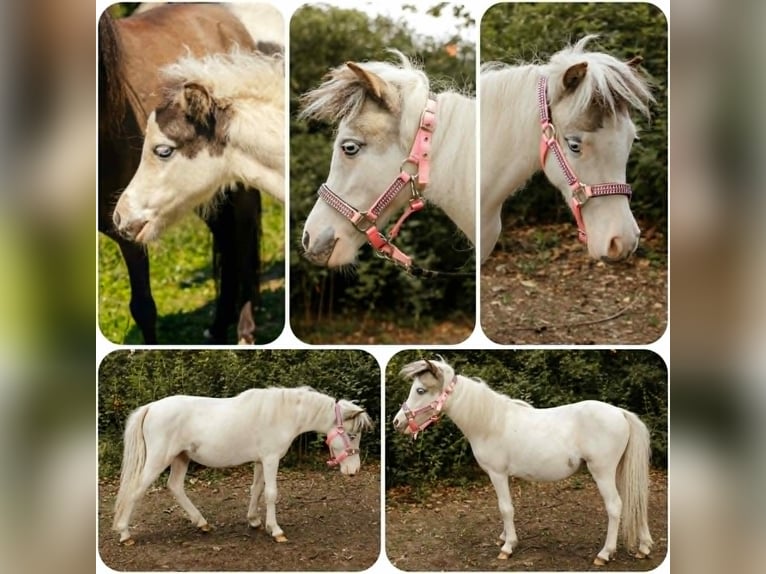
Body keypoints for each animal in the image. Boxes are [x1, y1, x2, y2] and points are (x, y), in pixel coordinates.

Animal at [113, 386, 373, 545]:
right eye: (352, 435)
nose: (354, 470)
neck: (282, 414)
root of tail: (151, 407)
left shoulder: (260, 460)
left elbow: (256, 490)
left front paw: (255, 521)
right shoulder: (270, 459)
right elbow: (270, 493)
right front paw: (276, 531)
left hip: (181, 458)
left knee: (175, 486)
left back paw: (202, 523)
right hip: (159, 459)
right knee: (136, 491)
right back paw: (125, 534)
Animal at [392, 358, 654, 566]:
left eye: (420, 390)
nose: (396, 422)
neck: (489, 422)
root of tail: (620, 413)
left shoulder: (497, 474)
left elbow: (505, 508)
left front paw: (508, 547)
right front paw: (503, 537)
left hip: (602, 472)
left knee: (615, 506)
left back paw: (604, 554)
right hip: (618, 472)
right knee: (636, 501)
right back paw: (644, 548)